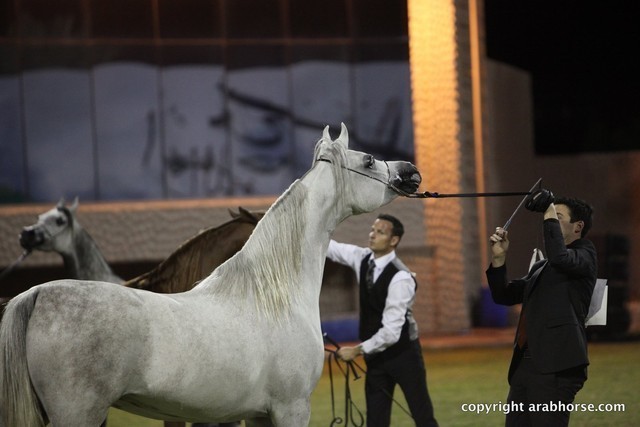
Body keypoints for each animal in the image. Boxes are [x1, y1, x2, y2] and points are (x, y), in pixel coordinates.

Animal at [0, 123, 421, 427]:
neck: (274, 295)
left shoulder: (257, 416)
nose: (411, 172)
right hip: (79, 414)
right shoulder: (291, 408)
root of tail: (36, 295)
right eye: (368, 161)